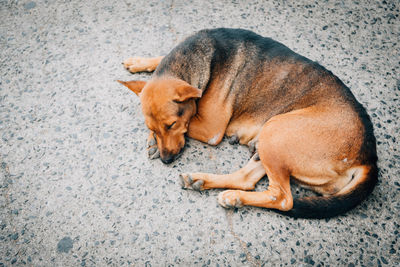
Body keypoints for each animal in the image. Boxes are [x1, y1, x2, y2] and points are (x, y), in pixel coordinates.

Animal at [117, 28, 376, 219]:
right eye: (153, 127)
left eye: (171, 125)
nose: (166, 160)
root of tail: (369, 157)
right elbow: (160, 59)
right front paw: (140, 62)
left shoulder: (211, 129)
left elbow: (189, 123)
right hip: (271, 143)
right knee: (248, 180)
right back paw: (210, 185)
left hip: (276, 129)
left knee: (282, 198)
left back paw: (233, 197)